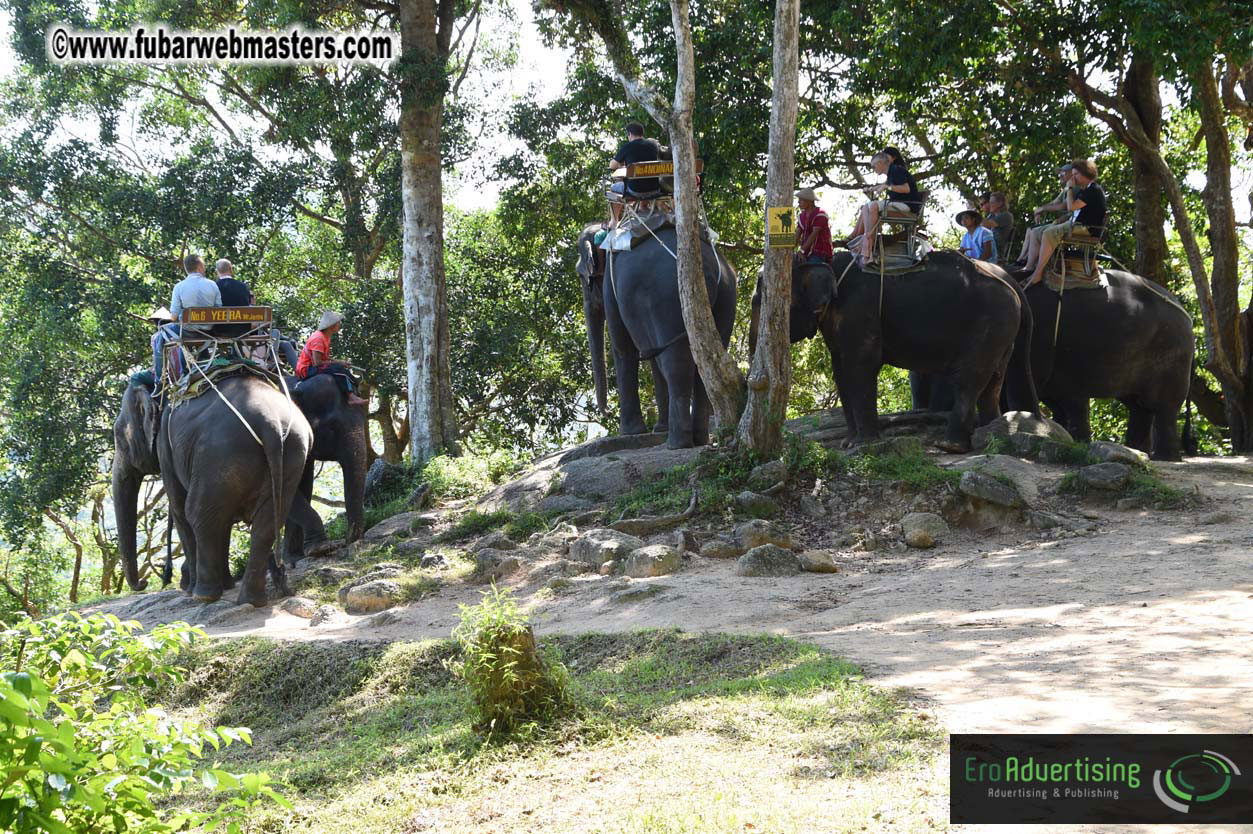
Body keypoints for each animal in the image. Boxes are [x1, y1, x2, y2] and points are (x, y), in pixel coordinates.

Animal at [603, 222, 736, 448]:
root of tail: (708, 272)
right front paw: (657, 429)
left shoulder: (610, 284)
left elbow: (623, 349)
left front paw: (630, 433)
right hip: (727, 295)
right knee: (708, 363)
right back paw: (699, 440)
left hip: (668, 300)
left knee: (676, 366)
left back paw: (677, 443)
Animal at [756, 250, 1042, 450]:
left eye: (763, 302)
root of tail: (1014, 286)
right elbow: (840, 370)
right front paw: (848, 443)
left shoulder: (861, 309)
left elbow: (861, 365)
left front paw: (863, 444)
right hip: (1002, 330)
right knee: (992, 381)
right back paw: (989, 437)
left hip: (991, 322)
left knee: (969, 378)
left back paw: (950, 446)